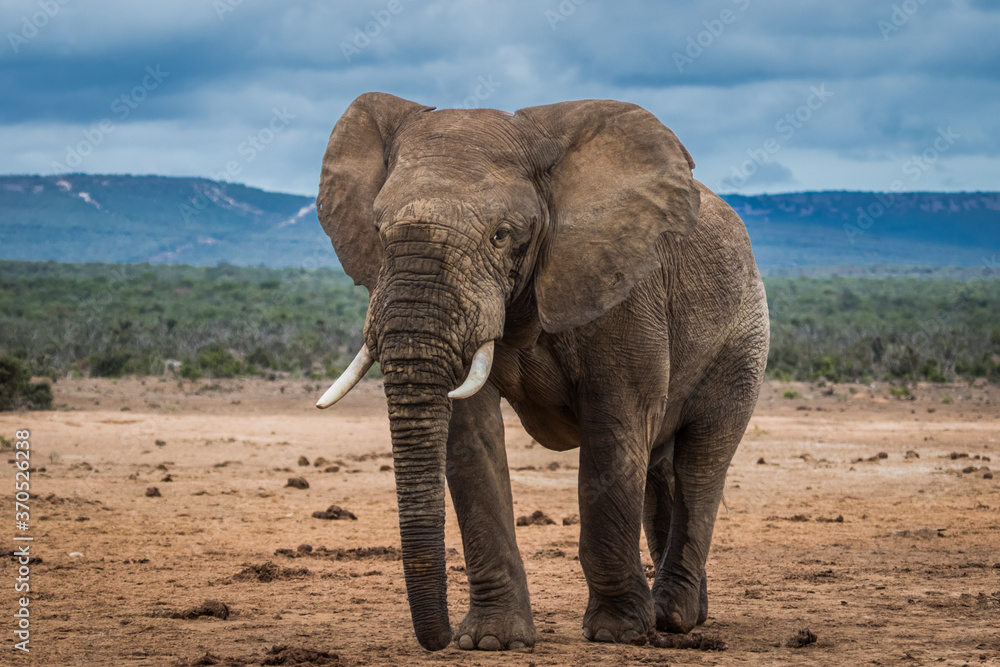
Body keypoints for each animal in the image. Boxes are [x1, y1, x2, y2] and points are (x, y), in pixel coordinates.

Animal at [314, 92, 769, 652]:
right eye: (378, 232)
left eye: (501, 235)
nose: (437, 639)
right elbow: (472, 437)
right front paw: (491, 641)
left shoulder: (623, 287)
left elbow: (614, 430)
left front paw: (616, 634)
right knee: (659, 468)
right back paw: (685, 615)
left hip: (743, 340)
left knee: (701, 461)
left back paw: (672, 618)